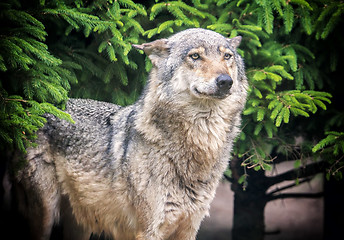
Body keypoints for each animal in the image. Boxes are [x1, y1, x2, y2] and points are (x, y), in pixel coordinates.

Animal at [6, 27, 247, 238]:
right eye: (195, 56)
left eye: (227, 56)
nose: (225, 81)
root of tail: (31, 111)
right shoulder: (148, 230)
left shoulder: (189, 228)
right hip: (45, 217)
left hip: (80, 226)